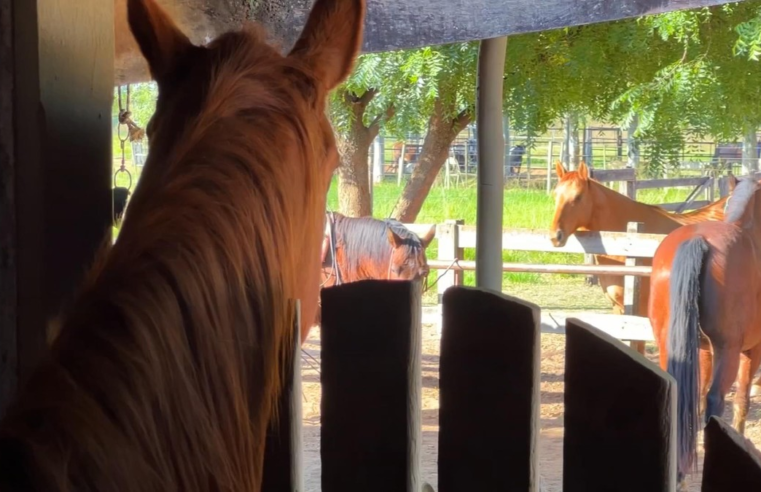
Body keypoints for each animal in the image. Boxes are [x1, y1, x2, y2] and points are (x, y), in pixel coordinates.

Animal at [648, 178, 760, 484]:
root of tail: (697, 239)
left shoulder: (701, 350)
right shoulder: (751, 350)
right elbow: (742, 400)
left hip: (671, 345)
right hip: (728, 351)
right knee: (716, 400)